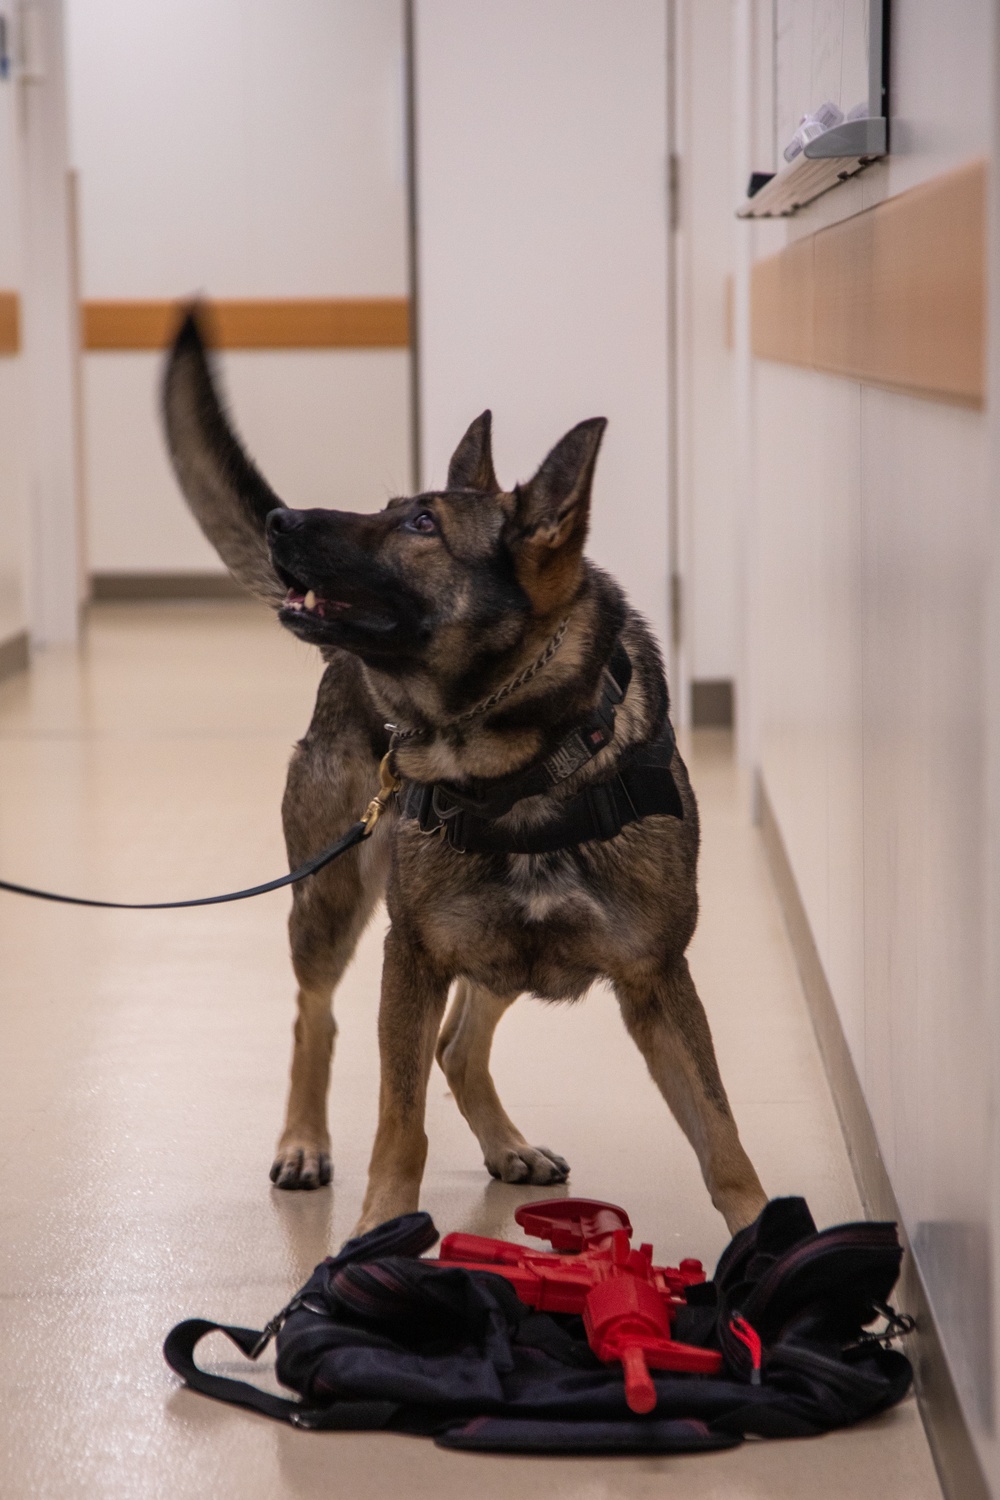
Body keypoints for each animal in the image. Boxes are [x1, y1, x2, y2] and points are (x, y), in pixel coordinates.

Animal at [166, 310, 767, 1236]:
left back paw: (506, 1143)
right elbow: (398, 1127)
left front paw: (776, 1240)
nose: (279, 520)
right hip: (334, 900)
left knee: (457, 1044)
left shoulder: (659, 981)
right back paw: (303, 1141)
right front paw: (375, 1235)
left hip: (491, 949)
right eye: (389, 511)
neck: (520, 767)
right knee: (316, 1018)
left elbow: (722, 1139)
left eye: (422, 525)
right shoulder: (412, 956)